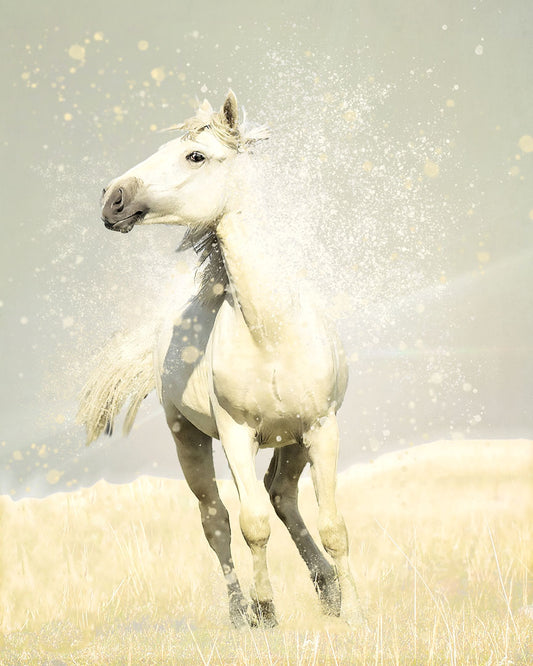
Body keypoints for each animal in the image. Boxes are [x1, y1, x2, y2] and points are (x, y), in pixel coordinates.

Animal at [78, 91, 362, 628]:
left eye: (196, 156)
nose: (112, 198)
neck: (271, 331)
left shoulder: (322, 426)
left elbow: (334, 525)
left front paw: (353, 610)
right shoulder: (235, 433)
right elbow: (252, 526)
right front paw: (267, 611)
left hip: (293, 439)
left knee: (281, 494)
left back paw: (328, 589)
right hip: (189, 438)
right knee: (218, 521)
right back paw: (240, 612)